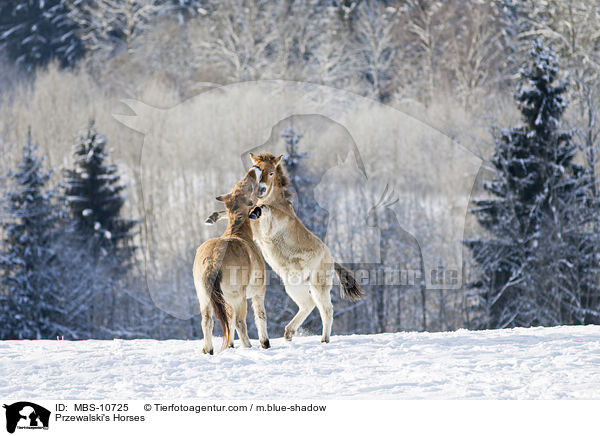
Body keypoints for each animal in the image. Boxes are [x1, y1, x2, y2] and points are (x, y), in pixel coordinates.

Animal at [193, 167, 268, 354]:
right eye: (250, 187)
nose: (255, 169)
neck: (238, 232)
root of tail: (212, 261)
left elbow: (229, 322)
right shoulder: (259, 292)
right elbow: (260, 316)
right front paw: (265, 342)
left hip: (204, 298)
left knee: (208, 322)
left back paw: (209, 350)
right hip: (238, 298)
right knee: (241, 322)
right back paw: (248, 346)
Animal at [206, 153, 360, 344]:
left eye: (271, 172)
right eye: (258, 168)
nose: (261, 190)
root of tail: (331, 259)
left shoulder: (265, 228)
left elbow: (263, 211)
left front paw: (257, 211)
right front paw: (212, 217)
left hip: (319, 285)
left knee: (326, 309)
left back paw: (324, 339)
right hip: (294, 285)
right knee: (308, 304)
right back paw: (289, 333)